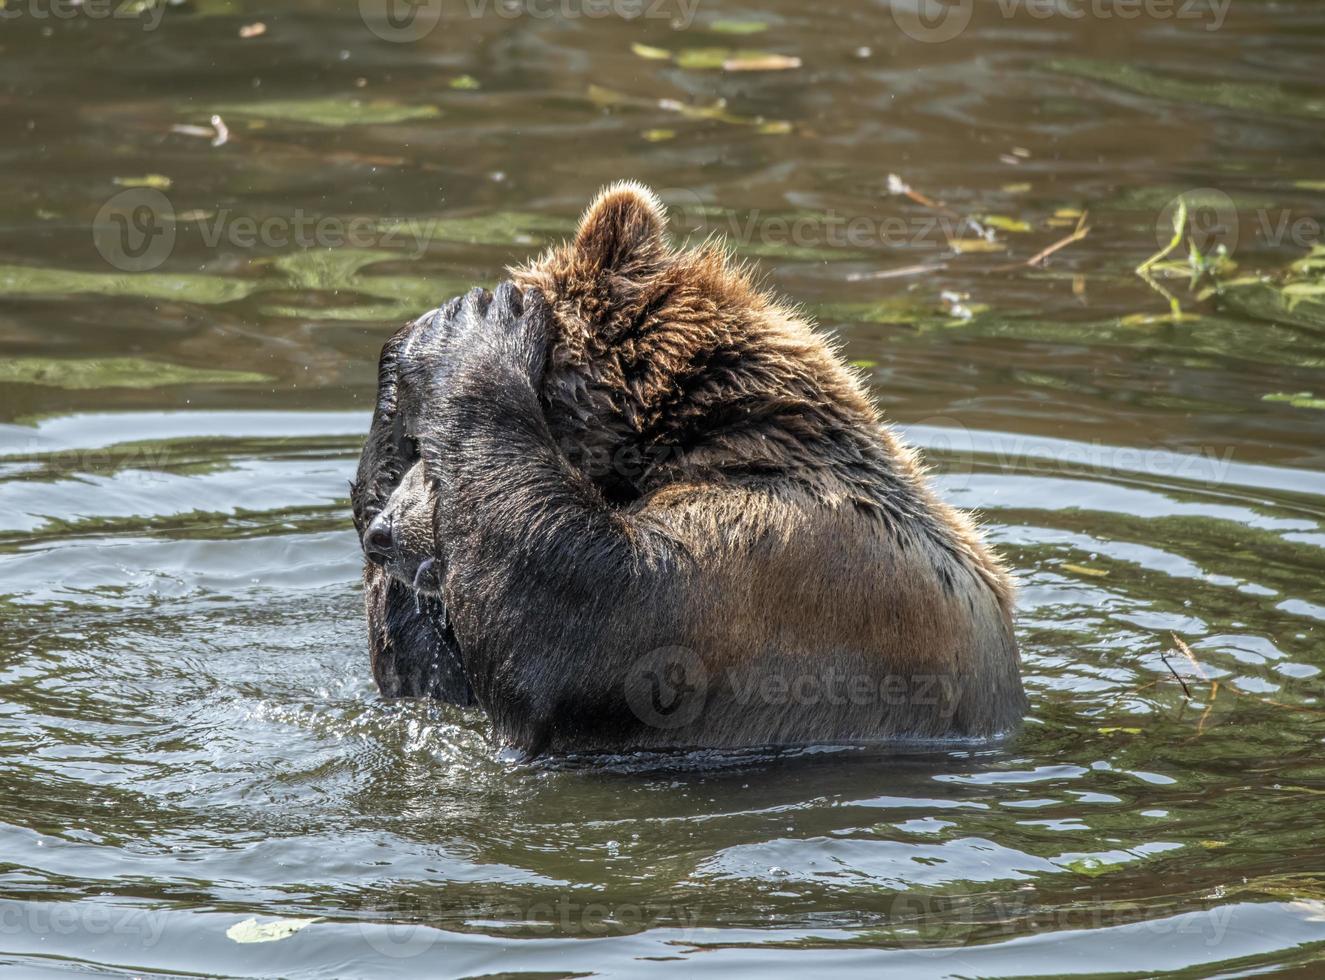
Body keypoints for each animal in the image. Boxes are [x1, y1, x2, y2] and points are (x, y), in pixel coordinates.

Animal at [347, 180, 1017, 757]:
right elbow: (438, 679)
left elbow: (568, 631)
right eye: (420, 438)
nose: (384, 534)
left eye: (433, 457)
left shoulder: (773, 565)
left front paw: (475, 329)